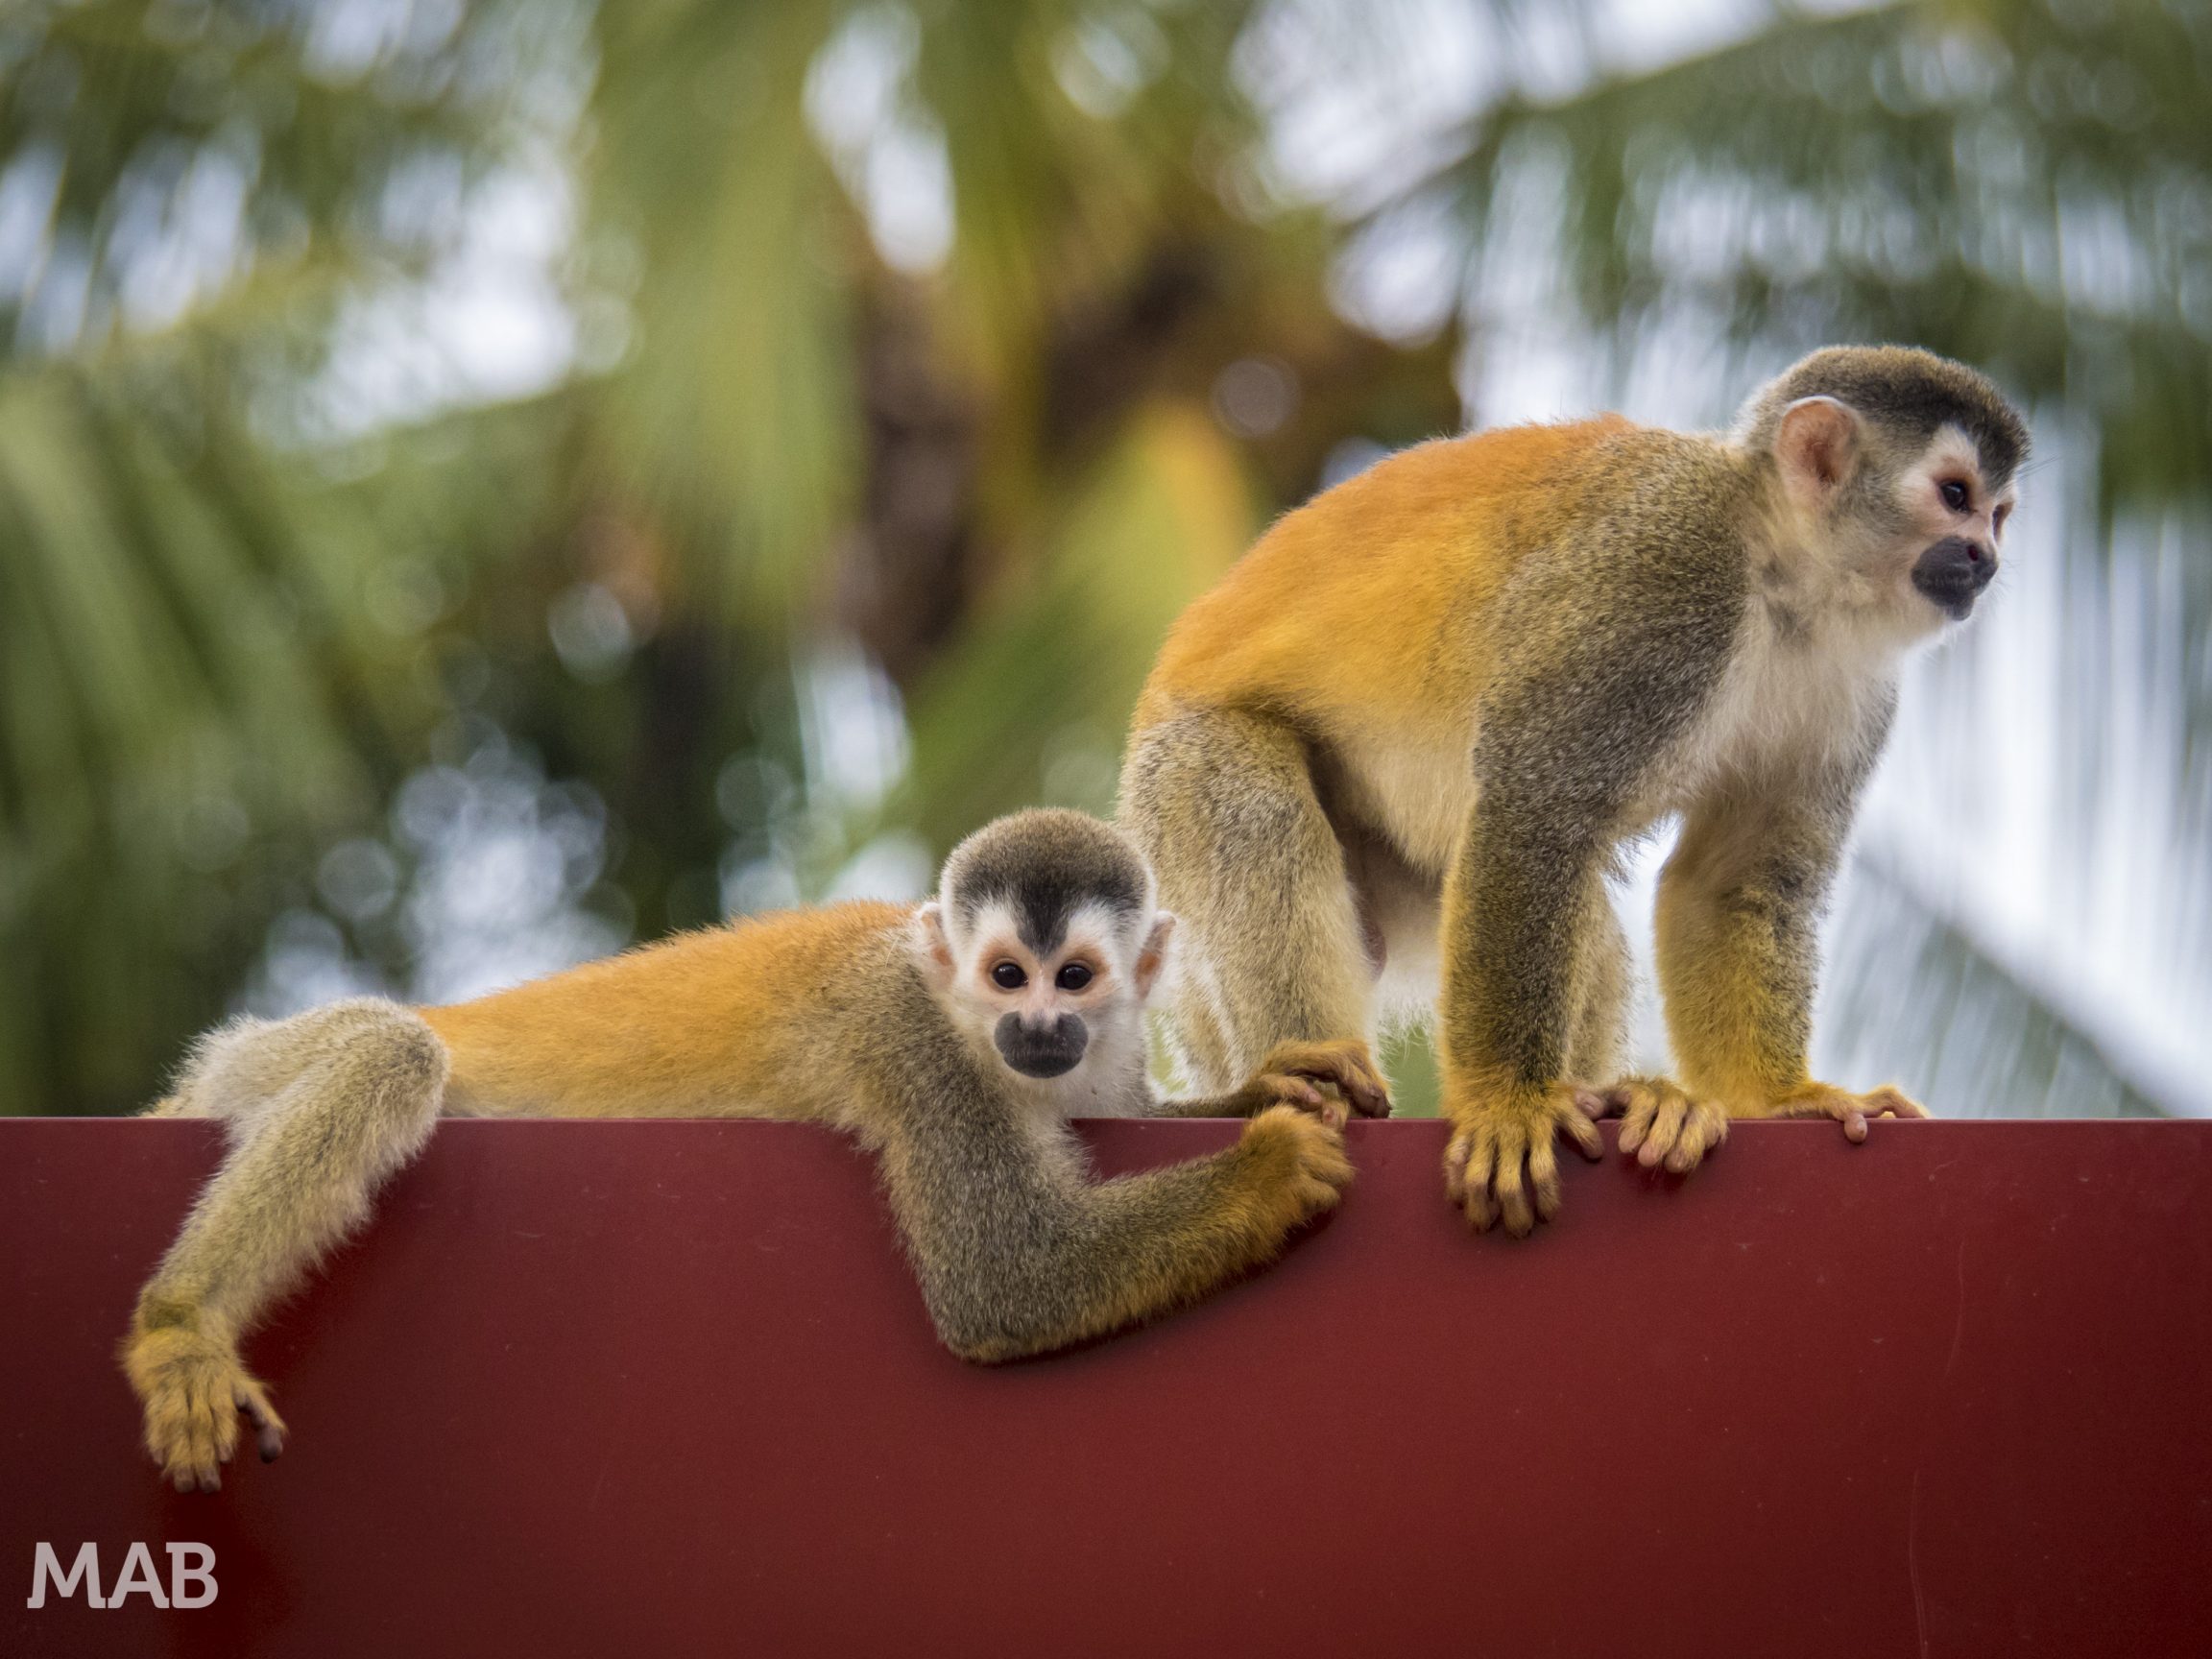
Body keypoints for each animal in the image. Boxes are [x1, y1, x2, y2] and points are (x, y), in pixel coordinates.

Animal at [120, 808, 1389, 1492]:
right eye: (1004, 976)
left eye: (1071, 977)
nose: (1036, 1028)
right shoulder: (914, 1040)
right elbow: (1004, 1280)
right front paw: (1268, 1165)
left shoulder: (1103, 1053)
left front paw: (1257, 1088)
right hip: (242, 1069)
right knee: (389, 1052)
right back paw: (180, 1326)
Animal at [1119, 345, 2026, 1237]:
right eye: (1955, 495)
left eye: (1999, 513)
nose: (1986, 558)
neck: (1785, 581)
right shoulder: (1665, 580)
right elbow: (1534, 807)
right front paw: (1508, 1107)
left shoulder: (1859, 685)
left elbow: (1731, 881)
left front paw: (1783, 1099)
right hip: (1171, 779)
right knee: (1256, 807)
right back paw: (1312, 1084)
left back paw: (1626, 1101)